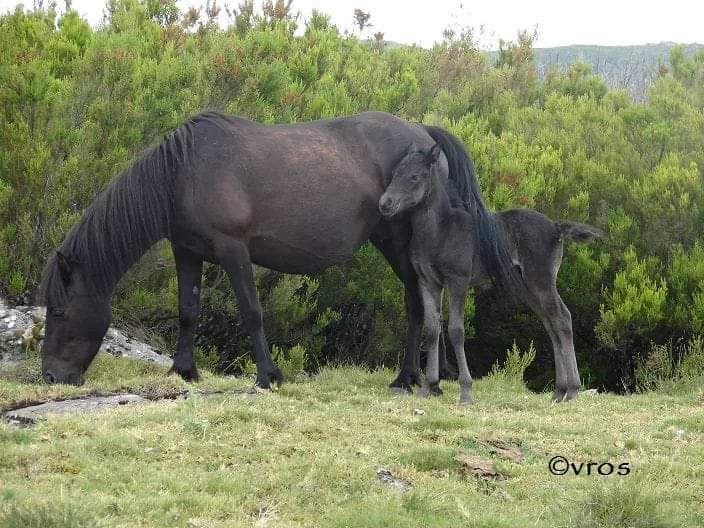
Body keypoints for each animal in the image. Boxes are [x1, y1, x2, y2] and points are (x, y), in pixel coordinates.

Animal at [38, 111, 495, 388]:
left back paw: (406, 377)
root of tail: (424, 133)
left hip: (397, 243)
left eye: (58, 311)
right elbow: (188, 310)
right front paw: (184, 370)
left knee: (416, 304)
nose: (50, 377)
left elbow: (252, 312)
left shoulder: (233, 250)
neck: (184, 172)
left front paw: (268, 375)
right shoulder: (186, 251)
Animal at [378, 127, 603, 403]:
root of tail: (556, 227)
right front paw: (428, 386)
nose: (385, 203)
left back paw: (572, 390)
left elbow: (456, 330)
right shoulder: (428, 282)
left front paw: (466, 390)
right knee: (551, 322)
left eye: (414, 177)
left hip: (541, 280)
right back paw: (559, 391)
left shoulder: (458, 281)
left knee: (562, 318)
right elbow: (432, 329)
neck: (441, 230)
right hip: (528, 286)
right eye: (393, 174)